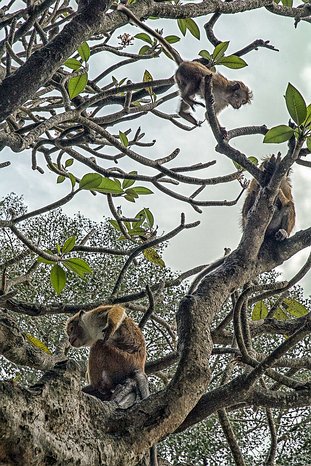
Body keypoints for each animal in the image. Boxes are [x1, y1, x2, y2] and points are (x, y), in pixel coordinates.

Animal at [117, 3, 254, 125]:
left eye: (242, 102)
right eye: (240, 99)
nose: (238, 106)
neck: (226, 93)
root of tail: (184, 62)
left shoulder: (224, 102)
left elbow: (208, 115)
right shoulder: (218, 83)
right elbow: (203, 82)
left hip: (179, 79)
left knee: (185, 90)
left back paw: (183, 112)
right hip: (187, 71)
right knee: (197, 80)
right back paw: (188, 99)